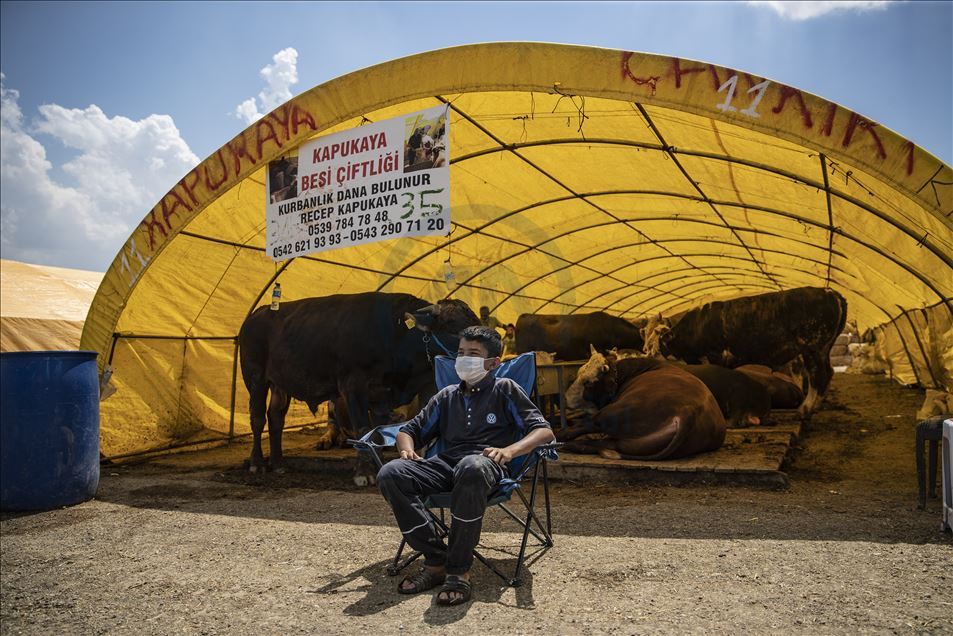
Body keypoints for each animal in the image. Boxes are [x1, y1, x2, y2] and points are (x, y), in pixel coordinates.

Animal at [238, 294, 476, 472]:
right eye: (452, 326)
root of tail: (257, 314)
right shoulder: (352, 386)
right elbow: (363, 429)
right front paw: (365, 472)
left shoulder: (393, 391)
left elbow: (379, 431)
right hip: (255, 377)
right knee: (257, 418)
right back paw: (257, 463)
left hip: (280, 384)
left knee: (276, 418)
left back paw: (278, 463)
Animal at [560, 350, 724, 460]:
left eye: (588, 382)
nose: (566, 399)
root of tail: (688, 411)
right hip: (635, 443)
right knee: (607, 443)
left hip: (616, 411)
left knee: (587, 425)